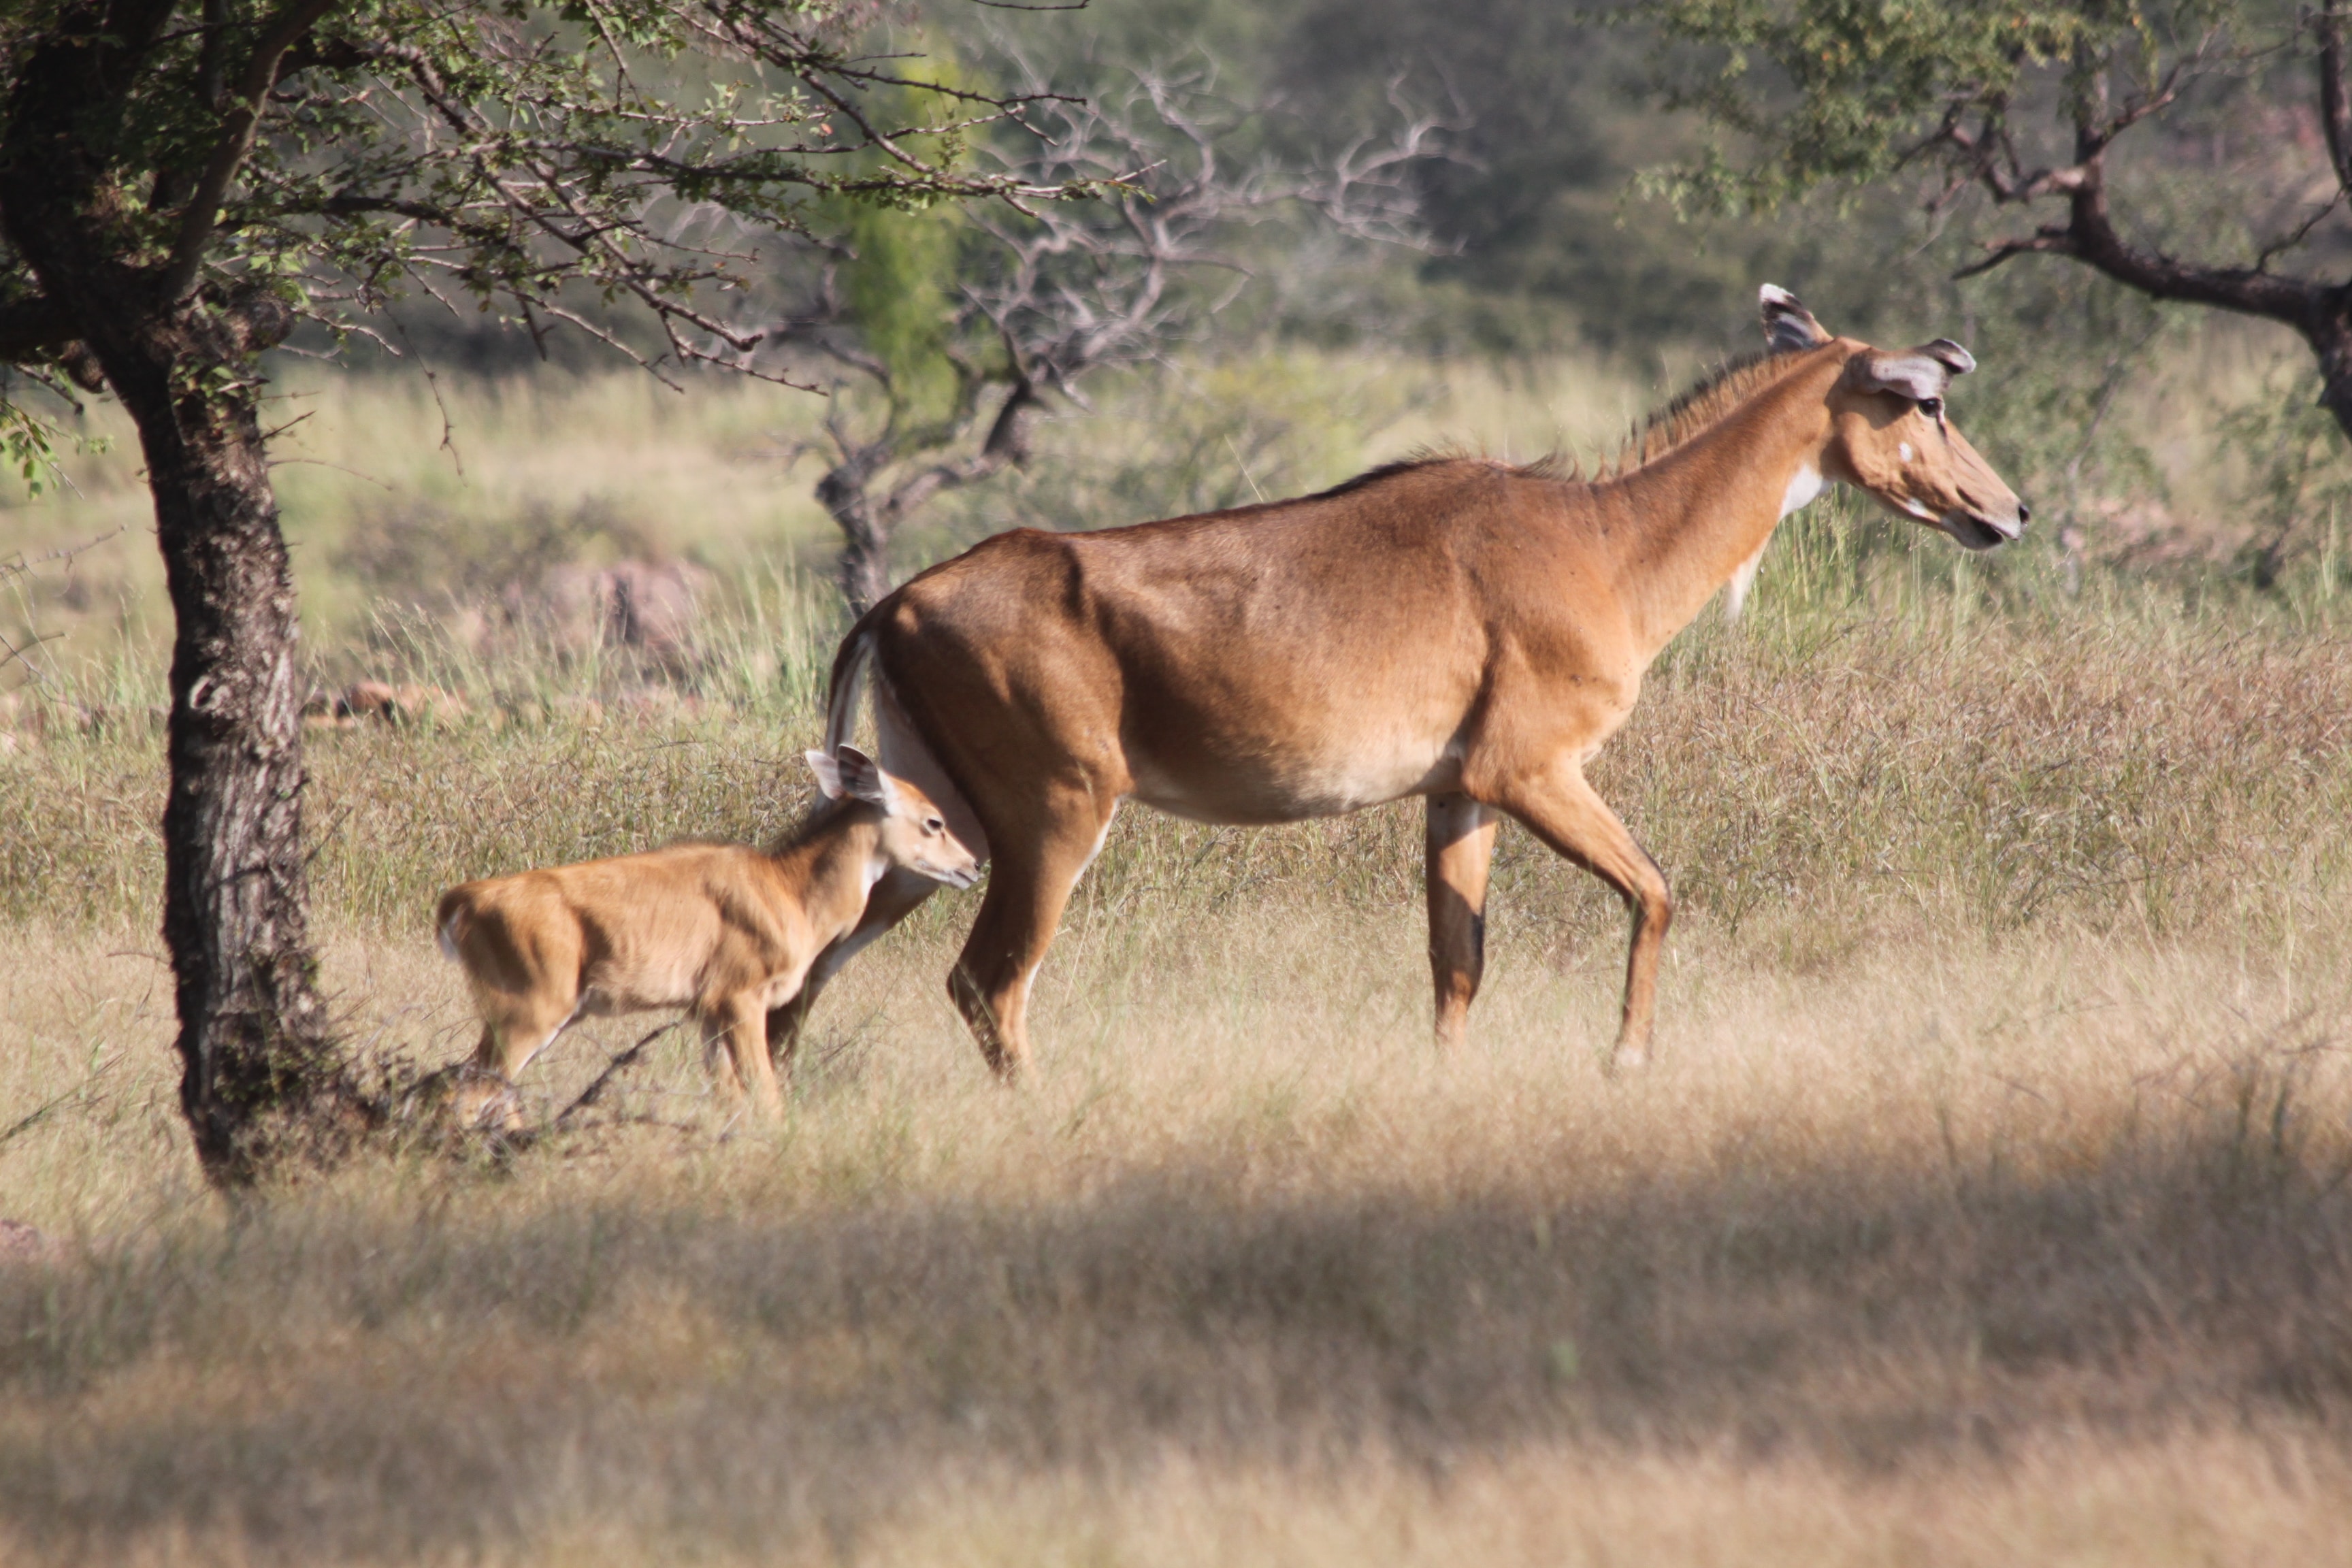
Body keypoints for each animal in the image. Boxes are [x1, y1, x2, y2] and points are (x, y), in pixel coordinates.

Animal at [437, 747, 978, 1128]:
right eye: (934, 821)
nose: (973, 866)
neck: (791, 893)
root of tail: (462, 901)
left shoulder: (705, 1010)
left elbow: (728, 1098)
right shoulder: (740, 995)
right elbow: (766, 1095)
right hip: (530, 1007)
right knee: (469, 1093)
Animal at [785, 285, 2023, 1081]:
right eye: (1925, 403)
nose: (2007, 510)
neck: (1606, 542)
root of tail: (895, 606)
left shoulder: (1455, 793)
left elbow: (1456, 963)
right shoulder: (1531, 768)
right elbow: (1657, 889)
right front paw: (1626, 1059)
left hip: (928, 827)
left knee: (810, 957)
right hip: (1053, 814)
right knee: (987, 982)